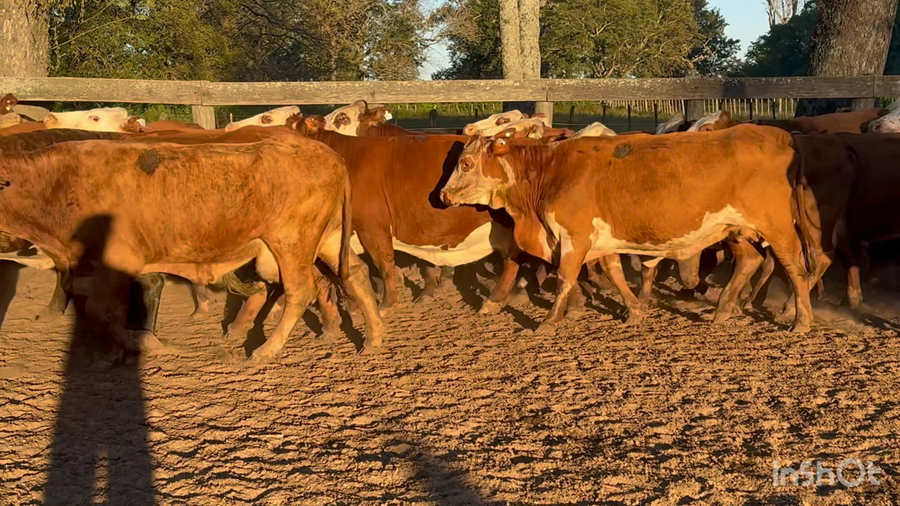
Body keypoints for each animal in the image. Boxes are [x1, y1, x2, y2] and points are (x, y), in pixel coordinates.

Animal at [0, 130, 384, 360]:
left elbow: (99, 312)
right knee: (356, 274)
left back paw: (266, 349)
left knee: (302, 289)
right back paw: (374, 337)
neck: (59, 182)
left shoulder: (116, 262)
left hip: (291, 242)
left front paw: (145, 341)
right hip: (328, 238)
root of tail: (330, 155)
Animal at [439, 125, 816, 335]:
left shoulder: (574, 236)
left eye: (466, 163)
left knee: (795, 268)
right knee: (750, 261)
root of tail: (780, 136)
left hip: (777, 228)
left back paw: (801, 320)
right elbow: (614, 272)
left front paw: (549, 321)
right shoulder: (601, 241)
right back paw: (722, 311)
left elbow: (564, 278)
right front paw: (634, 310)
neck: (550, 172)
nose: (443, 195)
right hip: (734, 228)